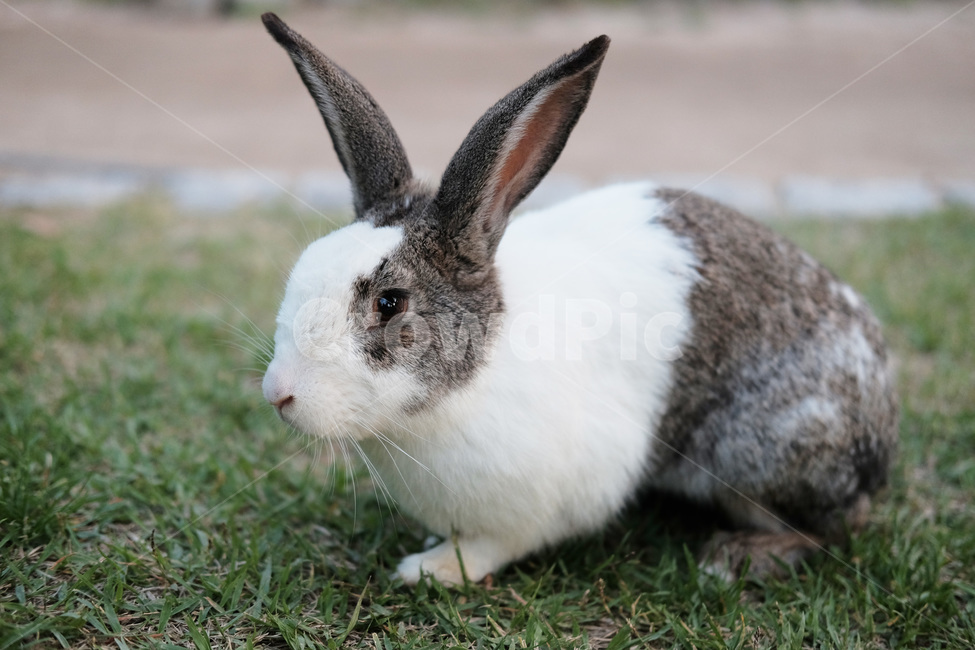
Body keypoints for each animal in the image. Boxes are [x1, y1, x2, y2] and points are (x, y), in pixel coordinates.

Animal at [259, 12, 898, 587]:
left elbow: (492, 545)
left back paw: (738, 555)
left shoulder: (545, 500)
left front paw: (431, 569)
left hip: (764, 451)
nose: (278, 394)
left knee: (838, 526)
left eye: (390, 303)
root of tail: (881, 422)